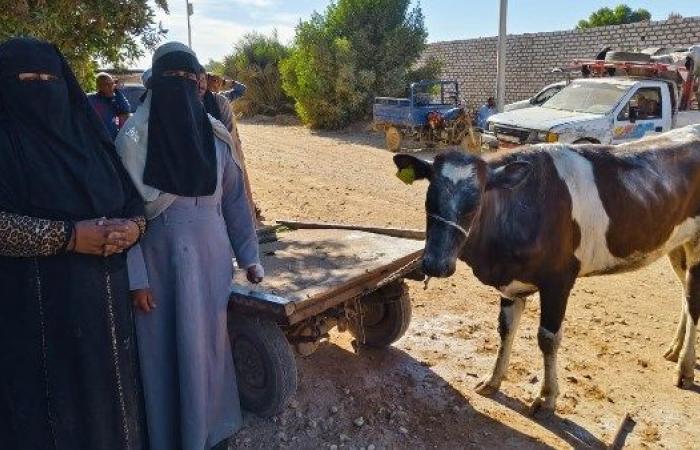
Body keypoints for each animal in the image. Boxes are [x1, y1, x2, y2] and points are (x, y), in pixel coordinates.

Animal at [396, 125, 700, 414]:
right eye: (429, 199)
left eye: (475, 203)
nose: (436, 263)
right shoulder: (511, 282)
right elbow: (505, 329)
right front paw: (493, 380)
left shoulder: (559, 280)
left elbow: (548, 338)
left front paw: (546, 397)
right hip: (676, 244)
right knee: (685, 297)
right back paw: (674, 349)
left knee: (693, 302)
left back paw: (684, 368)